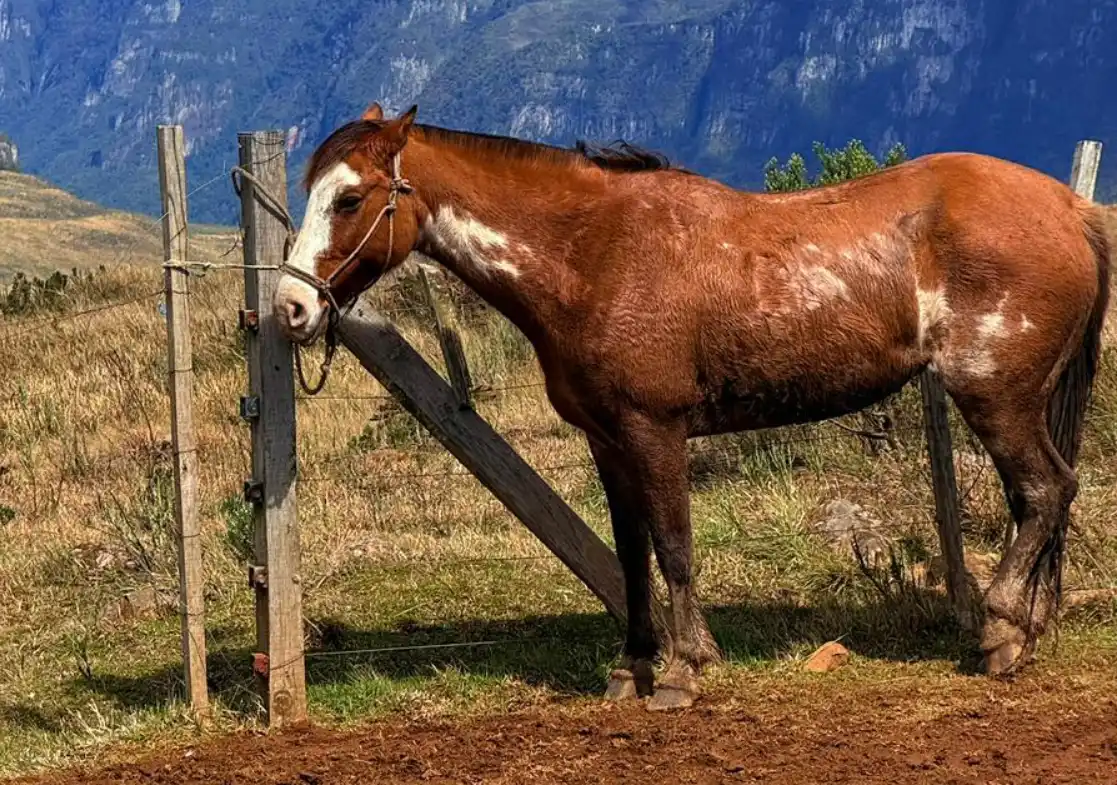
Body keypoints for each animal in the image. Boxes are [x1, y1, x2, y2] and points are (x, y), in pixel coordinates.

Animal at [273, 102, 1112, 711]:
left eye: (350, 198)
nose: (289, 308)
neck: (595, 254)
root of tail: (1068, 208)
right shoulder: (607, 440)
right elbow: (632, 553)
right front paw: (630, 668)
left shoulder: (655, 430)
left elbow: (673, 546)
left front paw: (682, 670)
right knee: (1038, 499)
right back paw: (1027, 627)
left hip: (994, 394)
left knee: (1045, 490)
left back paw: (1002, 632)